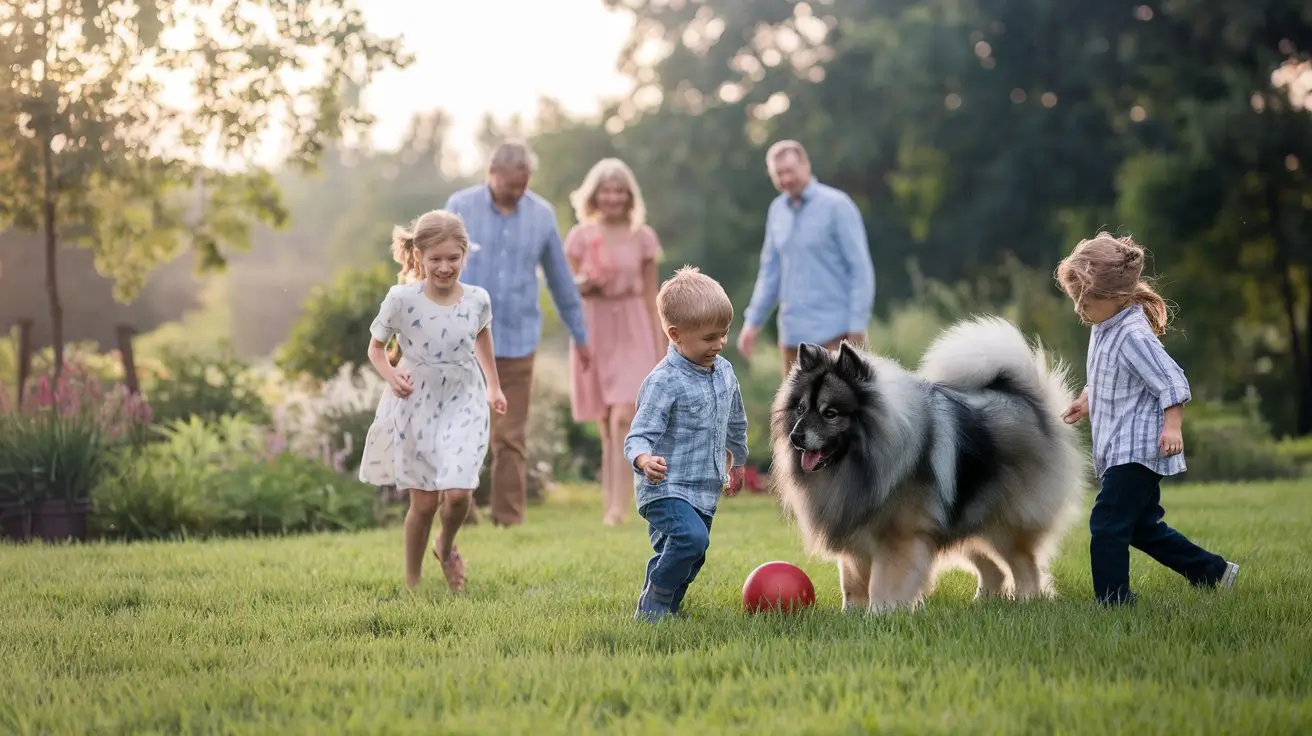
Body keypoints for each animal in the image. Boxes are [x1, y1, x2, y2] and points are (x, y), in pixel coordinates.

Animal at [766, 314, 1086, 608]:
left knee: (1024, 566)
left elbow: (884, 584)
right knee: (993, 569)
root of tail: (1028, 401)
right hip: (965, 518)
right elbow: (852, 584)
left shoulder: (898, 538)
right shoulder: (854, 535)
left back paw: (1026, 602)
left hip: (1005, 524)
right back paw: (981, 604)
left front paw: (880, 615)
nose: (796, 437)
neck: (858, 463)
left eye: (830, 413)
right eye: (800, 409)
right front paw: (852, 614)